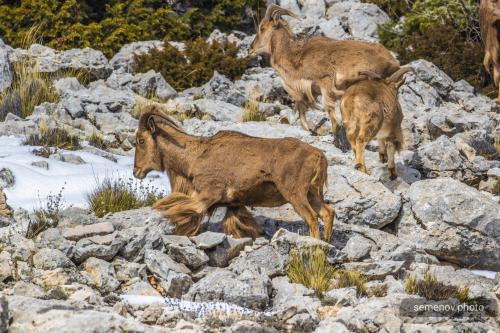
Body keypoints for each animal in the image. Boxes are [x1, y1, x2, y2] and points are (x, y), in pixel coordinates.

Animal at [133, 106, 336, 241]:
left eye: (141, 140)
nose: (136, 171)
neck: (195, 155)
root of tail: (319, 156)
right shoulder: (235, 204)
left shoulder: (209, 193)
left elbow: (184, 210)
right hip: (312, 193)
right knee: (327, 212)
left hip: (295, 194)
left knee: (312, 218)